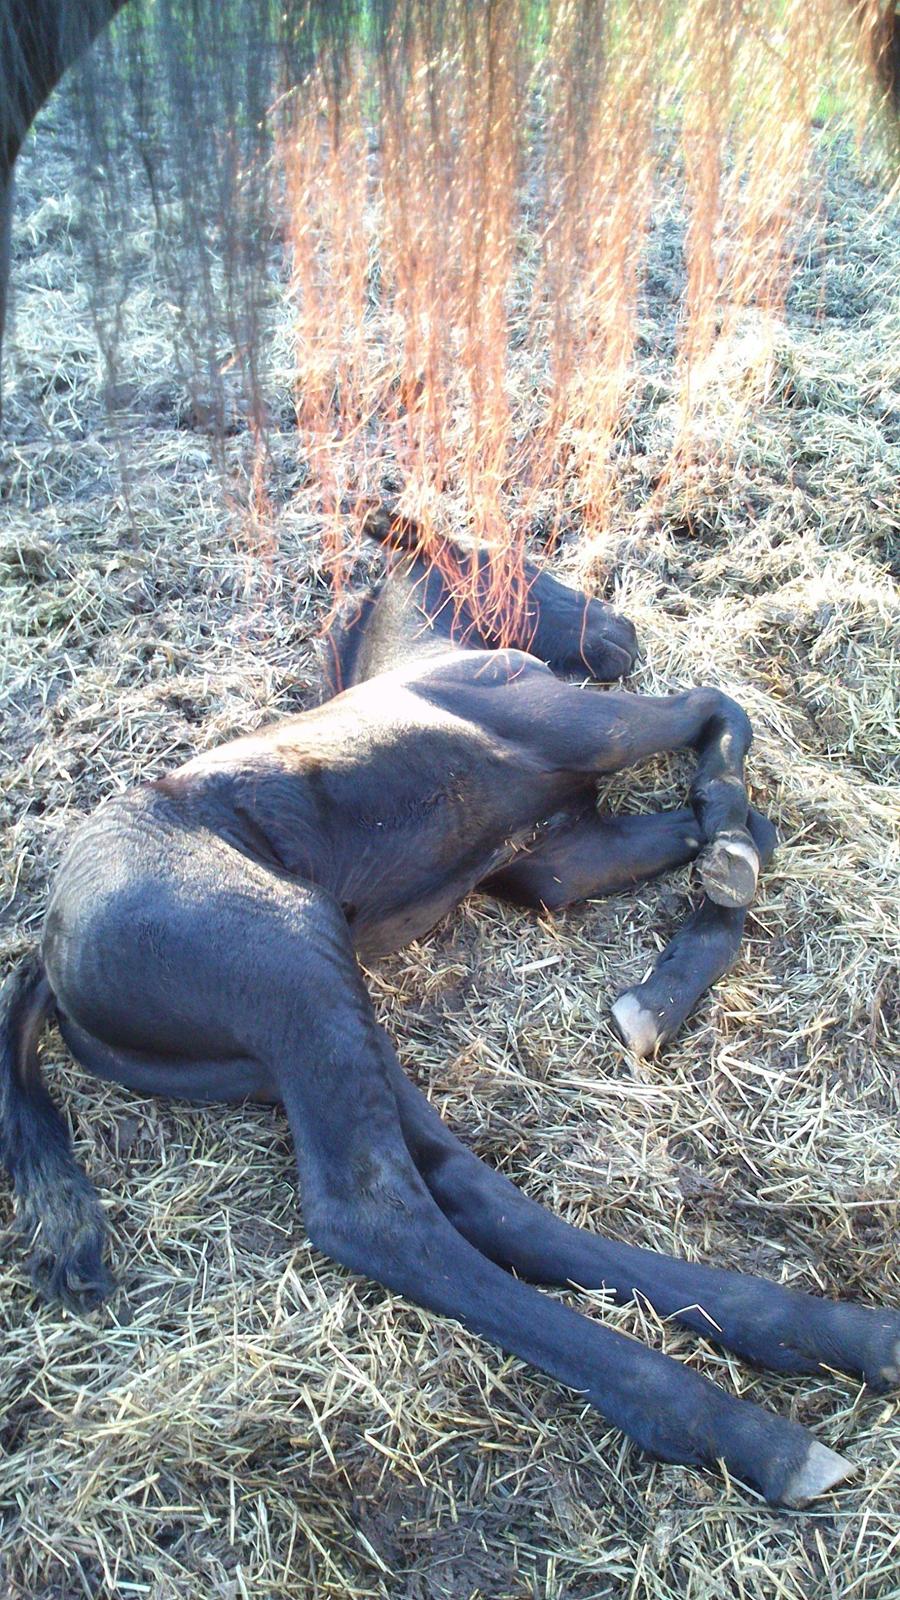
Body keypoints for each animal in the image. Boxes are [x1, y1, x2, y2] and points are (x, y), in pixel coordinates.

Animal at [1, 518, 896, 1504]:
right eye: (510, 557)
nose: (619, 632)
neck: (432, 659)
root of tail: (48, 955)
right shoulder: (584, 725)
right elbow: (718, 712)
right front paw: (715, 870)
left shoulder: (555, 858)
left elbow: (698, 825)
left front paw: (686, 940)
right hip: (290, 958)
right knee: (379, 1214)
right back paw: (745, 1431)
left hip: (309, 1014)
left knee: (471, 1192)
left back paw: (827, 1334)